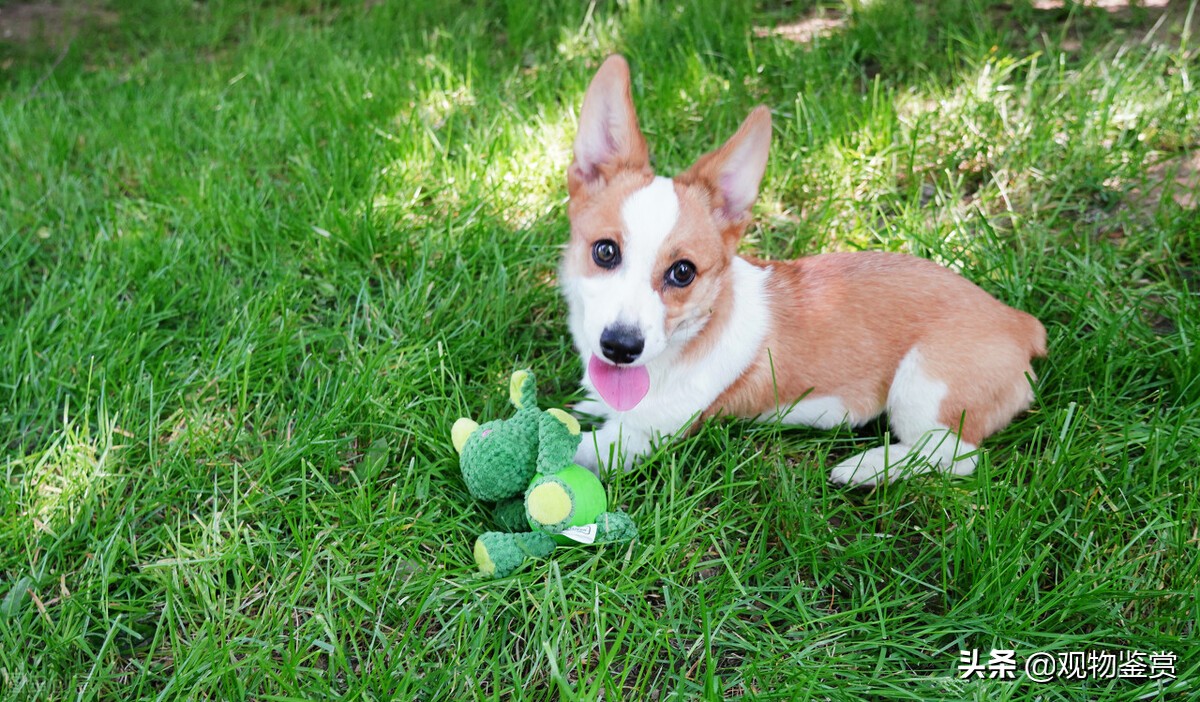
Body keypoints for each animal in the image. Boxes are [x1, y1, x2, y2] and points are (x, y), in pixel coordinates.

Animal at [559, 54, 1041, 484]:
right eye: (605, 252)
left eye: (683, 273)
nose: (621, 347)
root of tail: (1019, 323)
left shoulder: (636, 439)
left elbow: (570, 448)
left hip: (921, 384)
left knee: (955, 455)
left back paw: (869, 467)